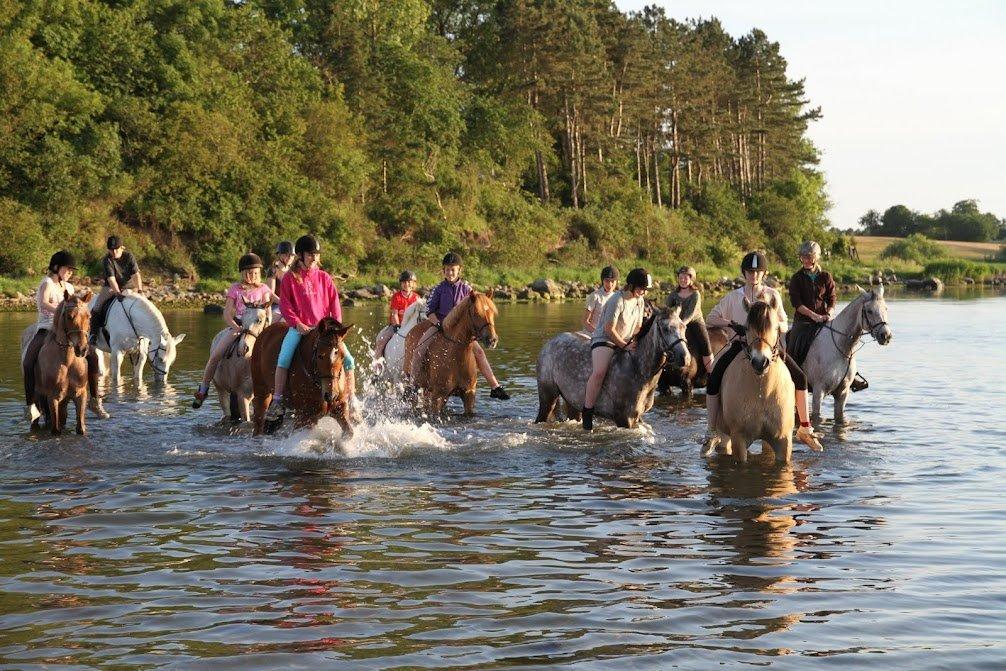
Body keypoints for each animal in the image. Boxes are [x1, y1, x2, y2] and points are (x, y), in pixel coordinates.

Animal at [535, 305, 692, 428]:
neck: (638, 368)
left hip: (572, 401)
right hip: (548, 397)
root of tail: (549, 343)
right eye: (665, 329)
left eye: (684, 327)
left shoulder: (637, 418)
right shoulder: (624, 419)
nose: (685, 358)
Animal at [800, 285, 897, 422]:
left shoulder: (842, 393)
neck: (841, 349)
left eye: (886, 308)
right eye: (869, 311)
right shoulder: (818, 391)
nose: (886, 336)